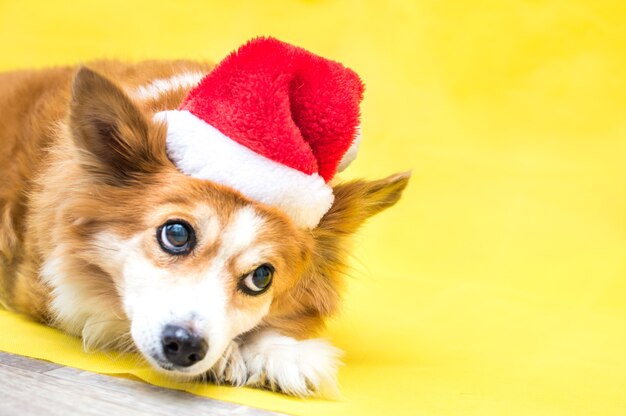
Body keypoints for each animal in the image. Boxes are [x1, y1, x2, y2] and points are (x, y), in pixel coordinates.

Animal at [0, 59, 408, 396]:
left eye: (262, 277)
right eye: (176, 234)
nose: (185, 347)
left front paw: (282, 353)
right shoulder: (46, 289)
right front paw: (230, 355)